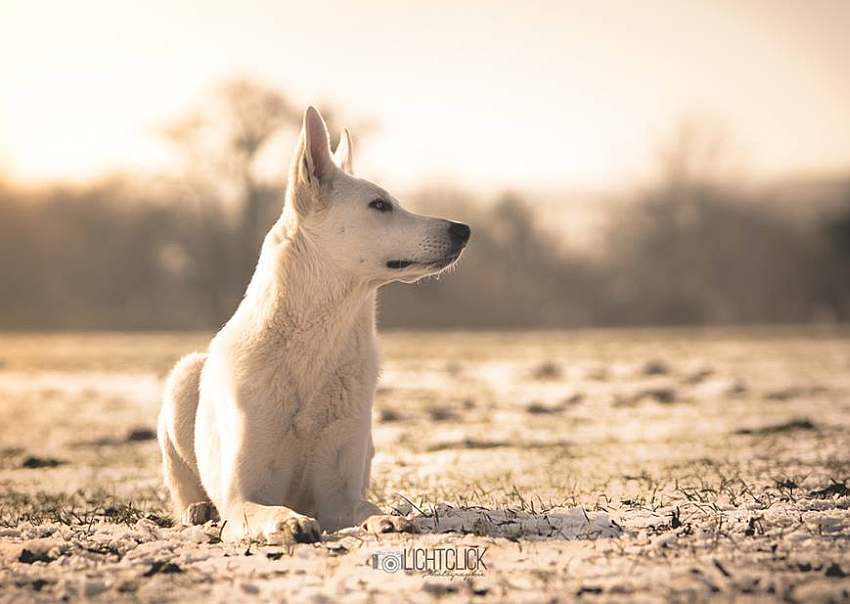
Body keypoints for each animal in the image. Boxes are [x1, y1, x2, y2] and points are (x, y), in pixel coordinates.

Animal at [157, 106, 470, 544]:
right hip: (183, 377)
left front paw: (386, 520)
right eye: (379, 205)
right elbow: (265, 509)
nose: (464, 230)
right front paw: (289, 520)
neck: (316, 343)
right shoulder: (242, 497)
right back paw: (197, 510)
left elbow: (365, 507)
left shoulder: (339, 492)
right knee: (185, 487)